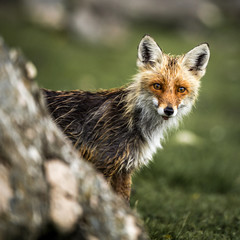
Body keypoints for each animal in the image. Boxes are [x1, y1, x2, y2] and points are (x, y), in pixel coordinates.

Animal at [43, 35, 210, 201]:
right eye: (157, 86)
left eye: (181, 89)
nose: (169, 110)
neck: (132, 122)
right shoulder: (103, 163)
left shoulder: (124, 169)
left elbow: (124, 200)